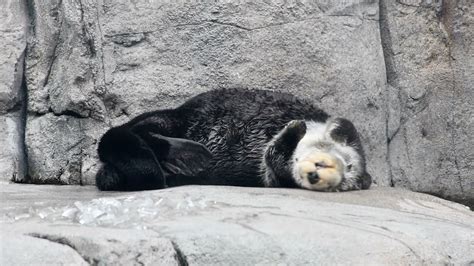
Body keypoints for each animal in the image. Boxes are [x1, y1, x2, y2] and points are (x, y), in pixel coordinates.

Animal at [95, 89, 370, 191]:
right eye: (349, 165)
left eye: (342, 184)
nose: (317, 176)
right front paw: (298, 127)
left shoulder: (273, 177)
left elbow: (273, 160)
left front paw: (290, 133)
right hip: (172, 118)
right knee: (140, 132)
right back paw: (191, 154)